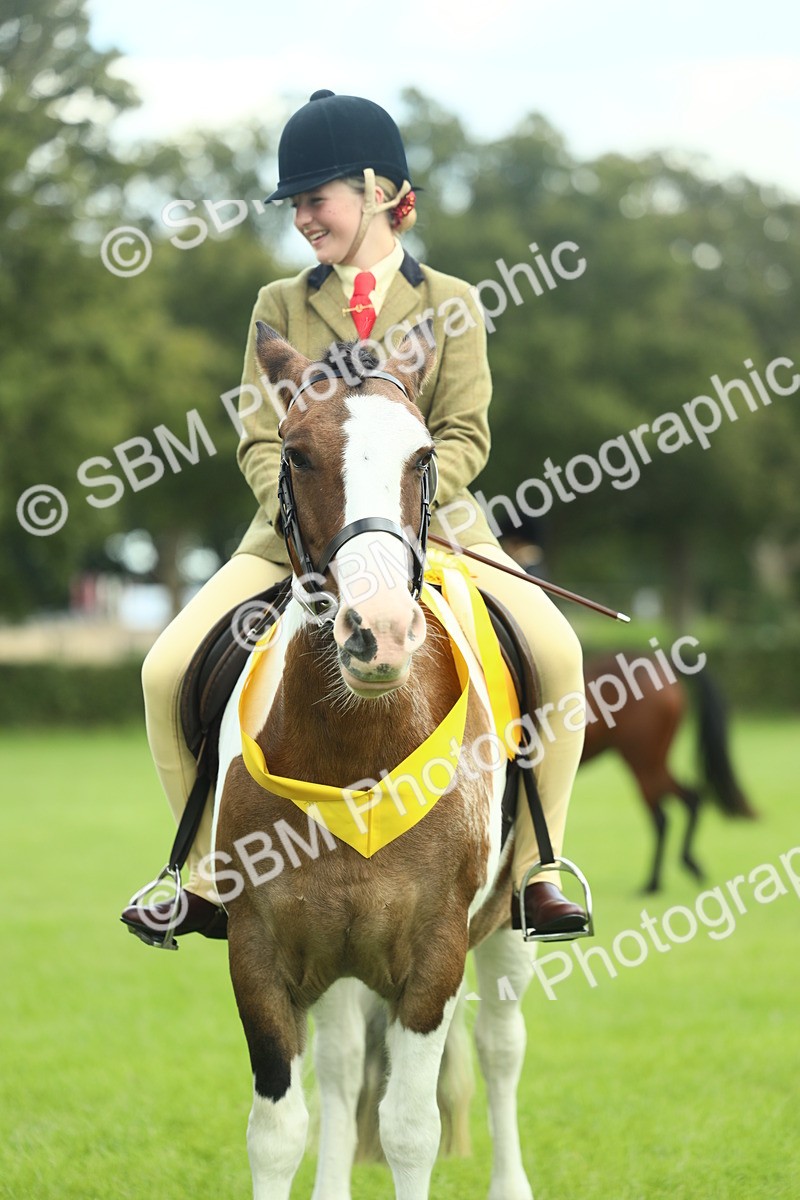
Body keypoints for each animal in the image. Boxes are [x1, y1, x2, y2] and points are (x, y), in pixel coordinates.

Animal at [211, 321, 537, 1200]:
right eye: (294, 453)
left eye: (422, 456)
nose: (378, 633)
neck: (355, 751)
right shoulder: (262, 950)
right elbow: (276, 1132)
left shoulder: (435, 953)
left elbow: (409, 1128)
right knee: (343, 1063)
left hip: (508, 922)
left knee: (501, 1049)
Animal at [580, 651, 756, 892]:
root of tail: (663, 664)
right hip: (654, 762)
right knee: (690, 800)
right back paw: (687, 866)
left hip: (643, 763)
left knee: (662, 818)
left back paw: (653, 883)